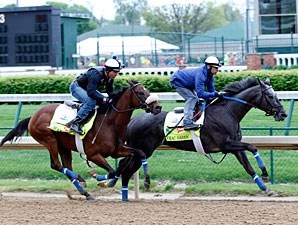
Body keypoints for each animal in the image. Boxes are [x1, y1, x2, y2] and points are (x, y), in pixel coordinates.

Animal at [0, 80, 163, 200]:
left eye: (147, 90)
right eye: (141, 92)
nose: (158, 107)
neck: (110, 123)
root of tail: (33, 116)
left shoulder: (117, 150)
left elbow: (138, 154)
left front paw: (147, 181)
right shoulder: (93, 154)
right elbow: (112, 171)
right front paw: (97, 176)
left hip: (63, 146)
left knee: (65, 166)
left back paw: (85, 192)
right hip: (49, 140)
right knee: (56, 165)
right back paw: (80, 179)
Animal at [108, 77, 288, 200]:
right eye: (270, 96)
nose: (283, 113)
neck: (228, 111)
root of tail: (132, 120)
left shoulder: (234, 147)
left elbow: (248, 167)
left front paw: (266, 188)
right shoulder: (226, 144)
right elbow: (253, 147)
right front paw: (265, 173)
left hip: (138, 150)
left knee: (124, 166)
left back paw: (117, 188)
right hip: (144, 149)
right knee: (127, 169)